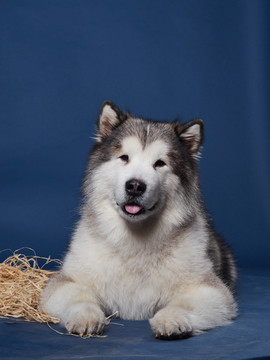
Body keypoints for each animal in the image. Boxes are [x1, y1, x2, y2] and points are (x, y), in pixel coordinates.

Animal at [40, 100, 236, 338]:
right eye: (124, 157)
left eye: (160, 163)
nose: (135, 186)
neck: (135, 239)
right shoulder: (64, 283)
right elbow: (80, 297)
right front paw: (86, 317)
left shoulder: (211, 289)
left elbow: (183, 303)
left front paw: (171, 319)